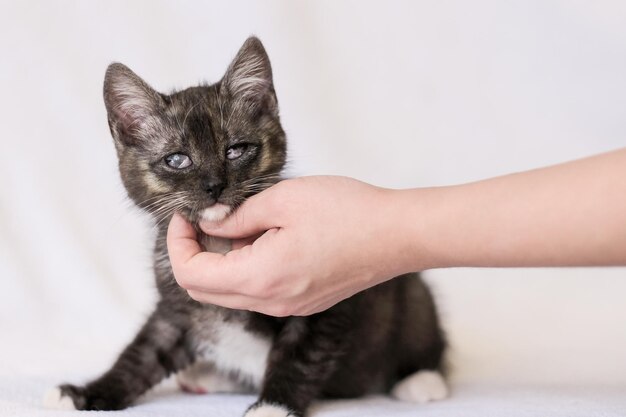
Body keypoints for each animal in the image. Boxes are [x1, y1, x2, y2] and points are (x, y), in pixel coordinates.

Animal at [42, 36, 444, 416]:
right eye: (177, 160)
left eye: (236, 150)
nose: (214, 185)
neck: (216, 242)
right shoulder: (174, 309)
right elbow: (142, 353)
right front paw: (84, 393)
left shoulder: (326, 306)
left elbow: (299, 357)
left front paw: (273, 406)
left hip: (411, 294)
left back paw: (422, 379)